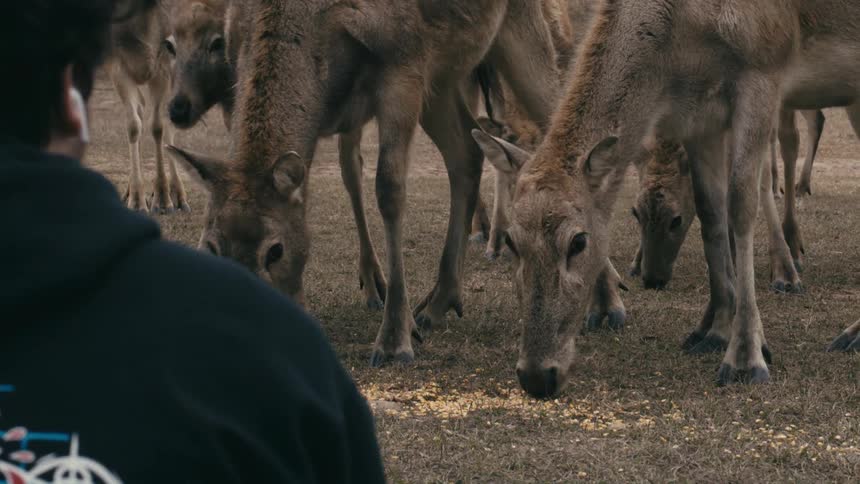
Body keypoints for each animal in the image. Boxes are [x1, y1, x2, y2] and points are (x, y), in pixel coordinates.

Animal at [473, 0, 860, 399]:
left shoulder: (764, 68)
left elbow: (741, 205)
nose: (537, 376)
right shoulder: (701, 116)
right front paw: (714, 331)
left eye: (578, 241)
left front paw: (746, 357)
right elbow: (711, 210)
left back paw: (847, 334)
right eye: (511, 241)